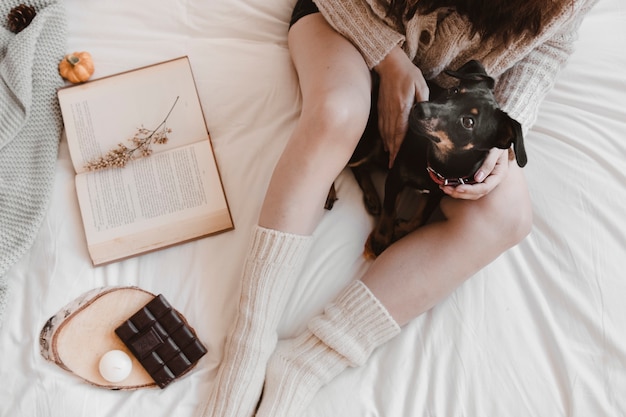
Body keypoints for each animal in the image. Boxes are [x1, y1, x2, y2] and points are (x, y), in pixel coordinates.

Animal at [326, 59, 528, 256]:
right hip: (366, 144)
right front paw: (381, 239)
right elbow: (390, 209)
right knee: (340, 164)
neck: (436, 161)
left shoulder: (436, 194)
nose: (419, 107)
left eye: (468, 122)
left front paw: (400, 231)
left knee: (358, 168)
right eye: (453, 90)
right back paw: (332, 193)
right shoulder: (395, 177)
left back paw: (372, 197)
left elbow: (420, 219)